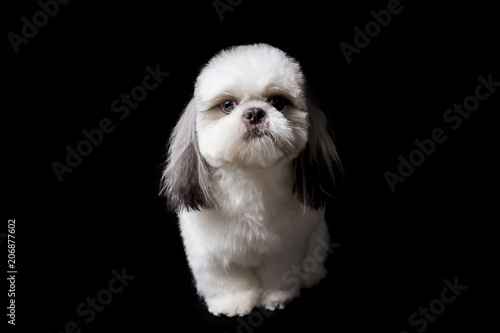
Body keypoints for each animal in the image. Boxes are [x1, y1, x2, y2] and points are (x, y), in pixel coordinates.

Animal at [161, 42, 340, 316]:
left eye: (278, 102)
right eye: (227, 105)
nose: (255, 113)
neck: (251, 177)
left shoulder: (284, 249)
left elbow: (279, 273)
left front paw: (277, 297)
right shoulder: (211, 254)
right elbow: (227, 281)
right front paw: (232, 302)